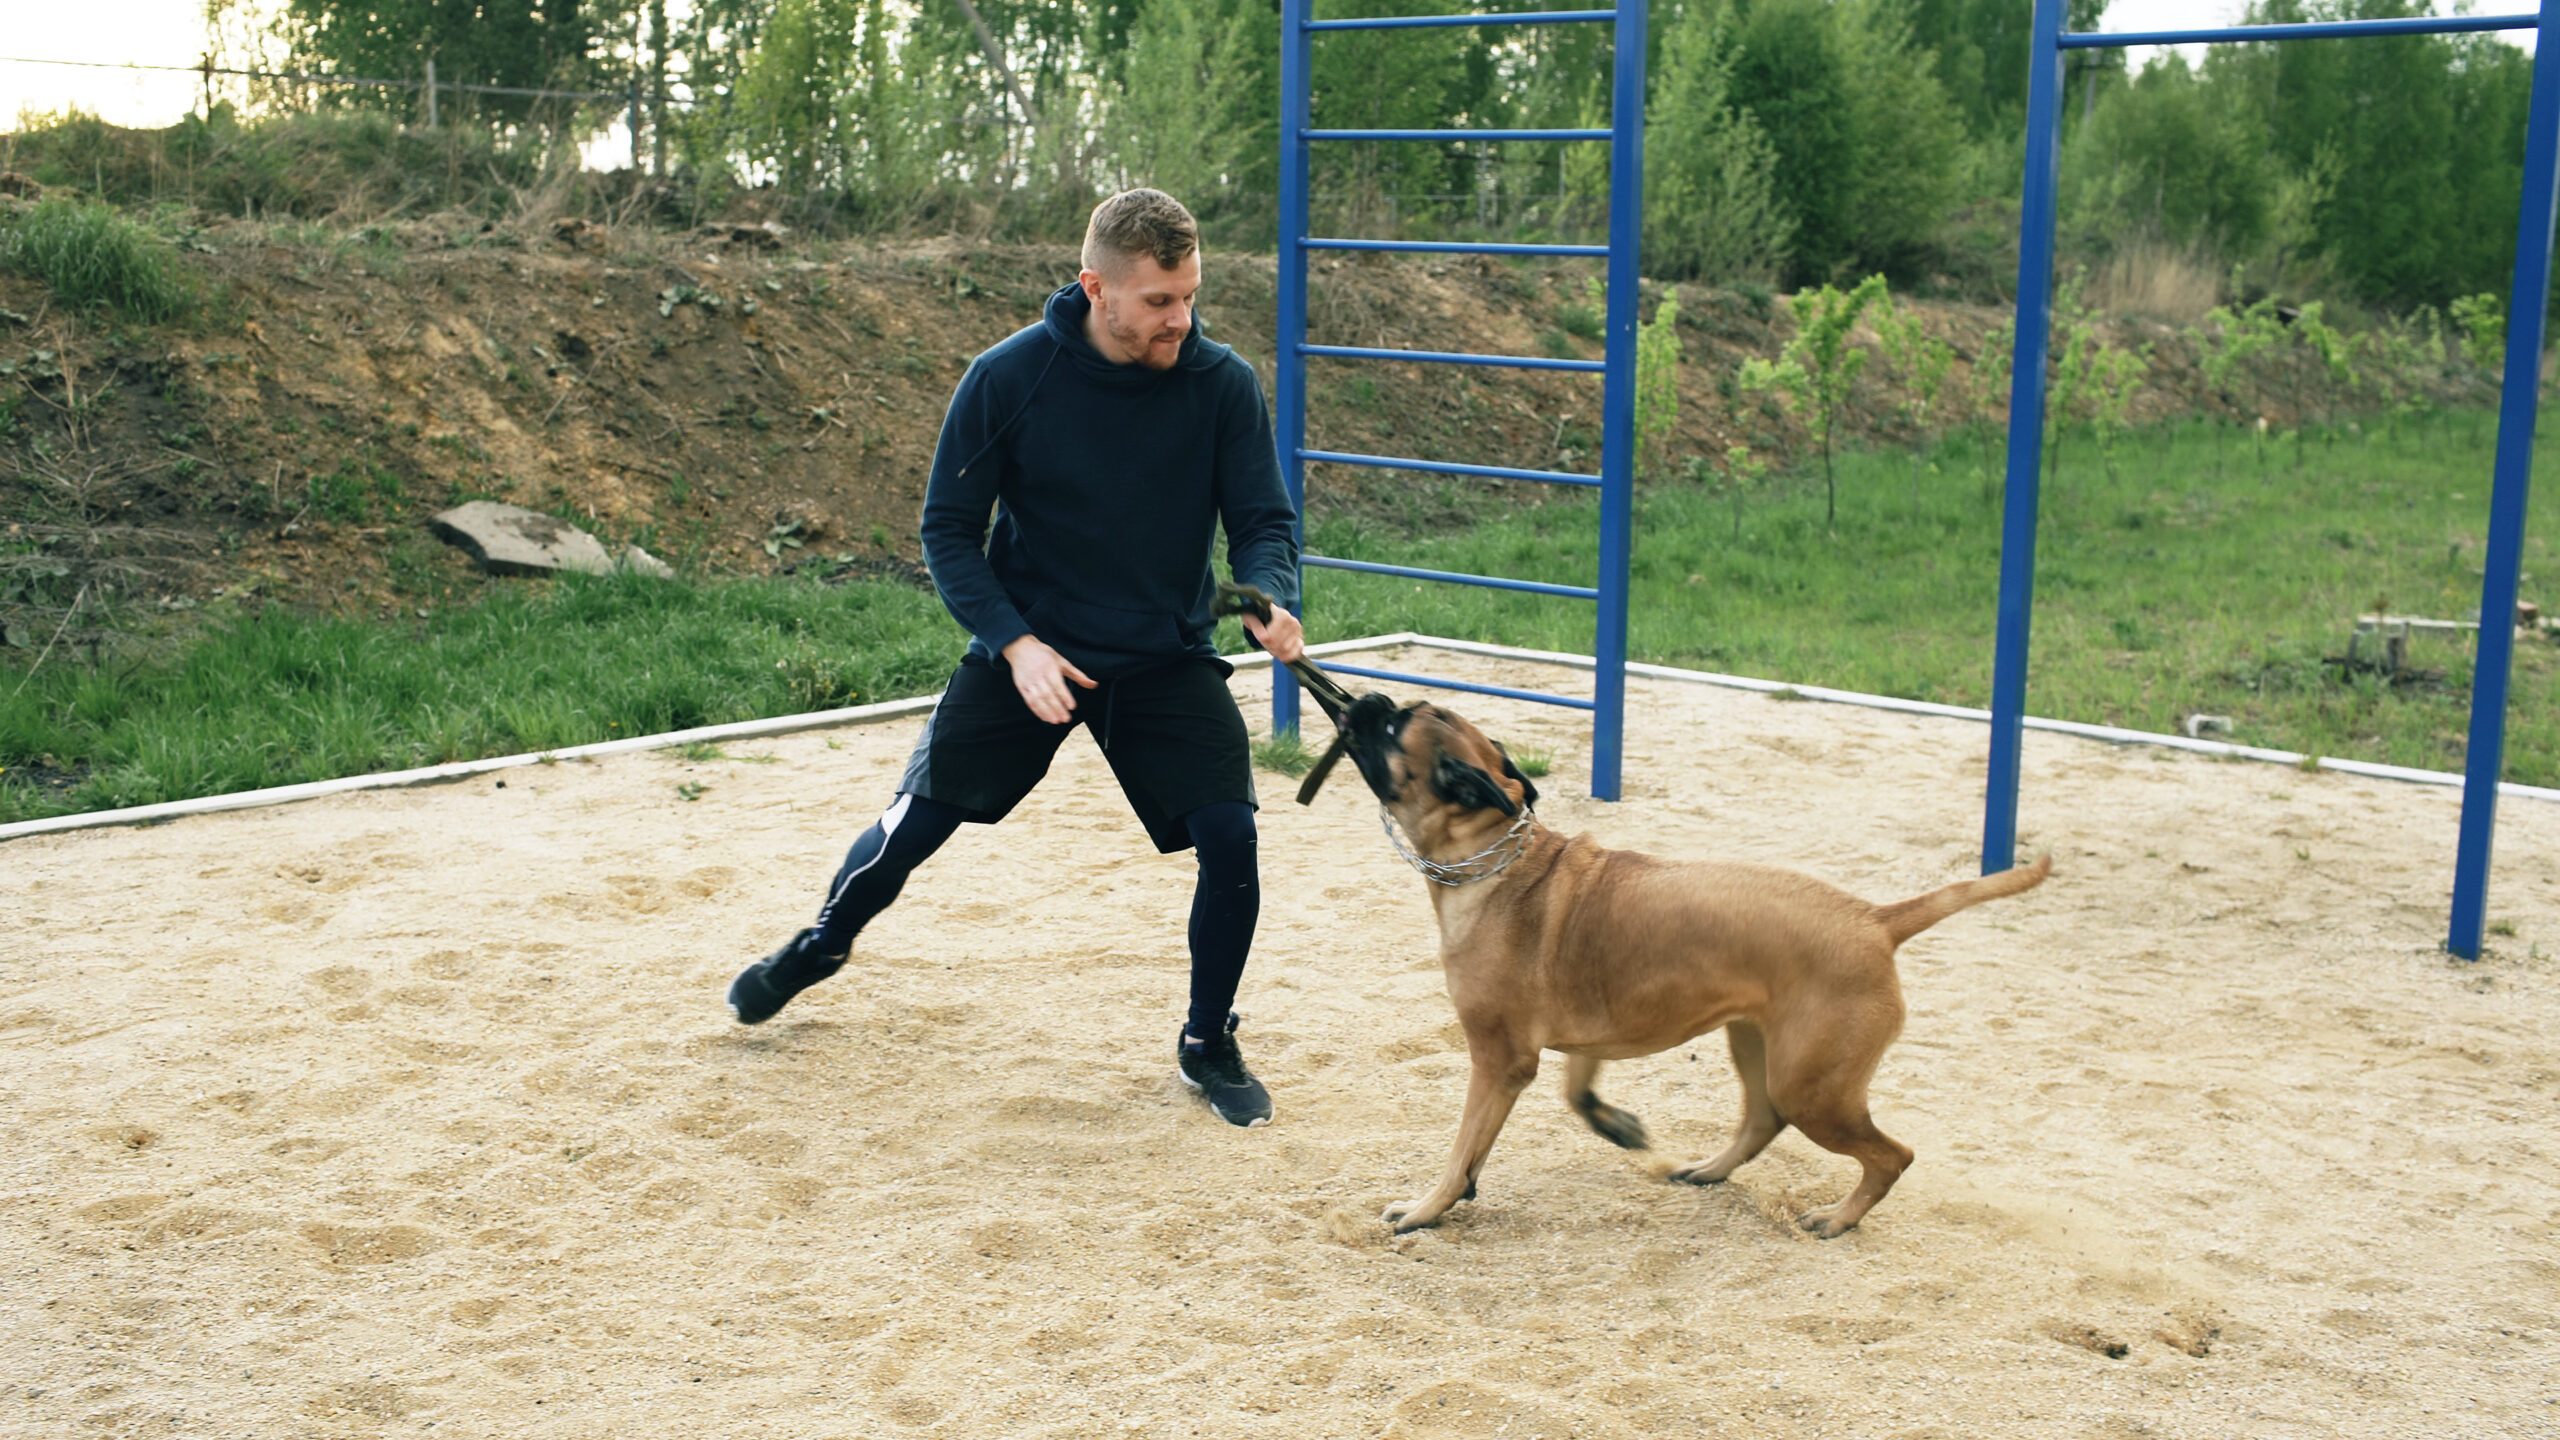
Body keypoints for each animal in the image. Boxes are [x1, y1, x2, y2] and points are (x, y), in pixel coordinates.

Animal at [1331, 691, 2048, 1229]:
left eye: (1394, 726)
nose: (1369, 698)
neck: (1495, 858)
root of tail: (1875, 919)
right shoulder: (1586, 1030)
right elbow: (1573, 1093)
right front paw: (1616, 1125)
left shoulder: (1498, 1059)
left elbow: (1460, 1150)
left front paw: (1426, 1209)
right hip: (1758, 1047)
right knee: (1762, 1120)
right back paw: (1708, 1171)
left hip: (1813, 1086)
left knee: (1890, 1155)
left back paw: (1837, 1218)